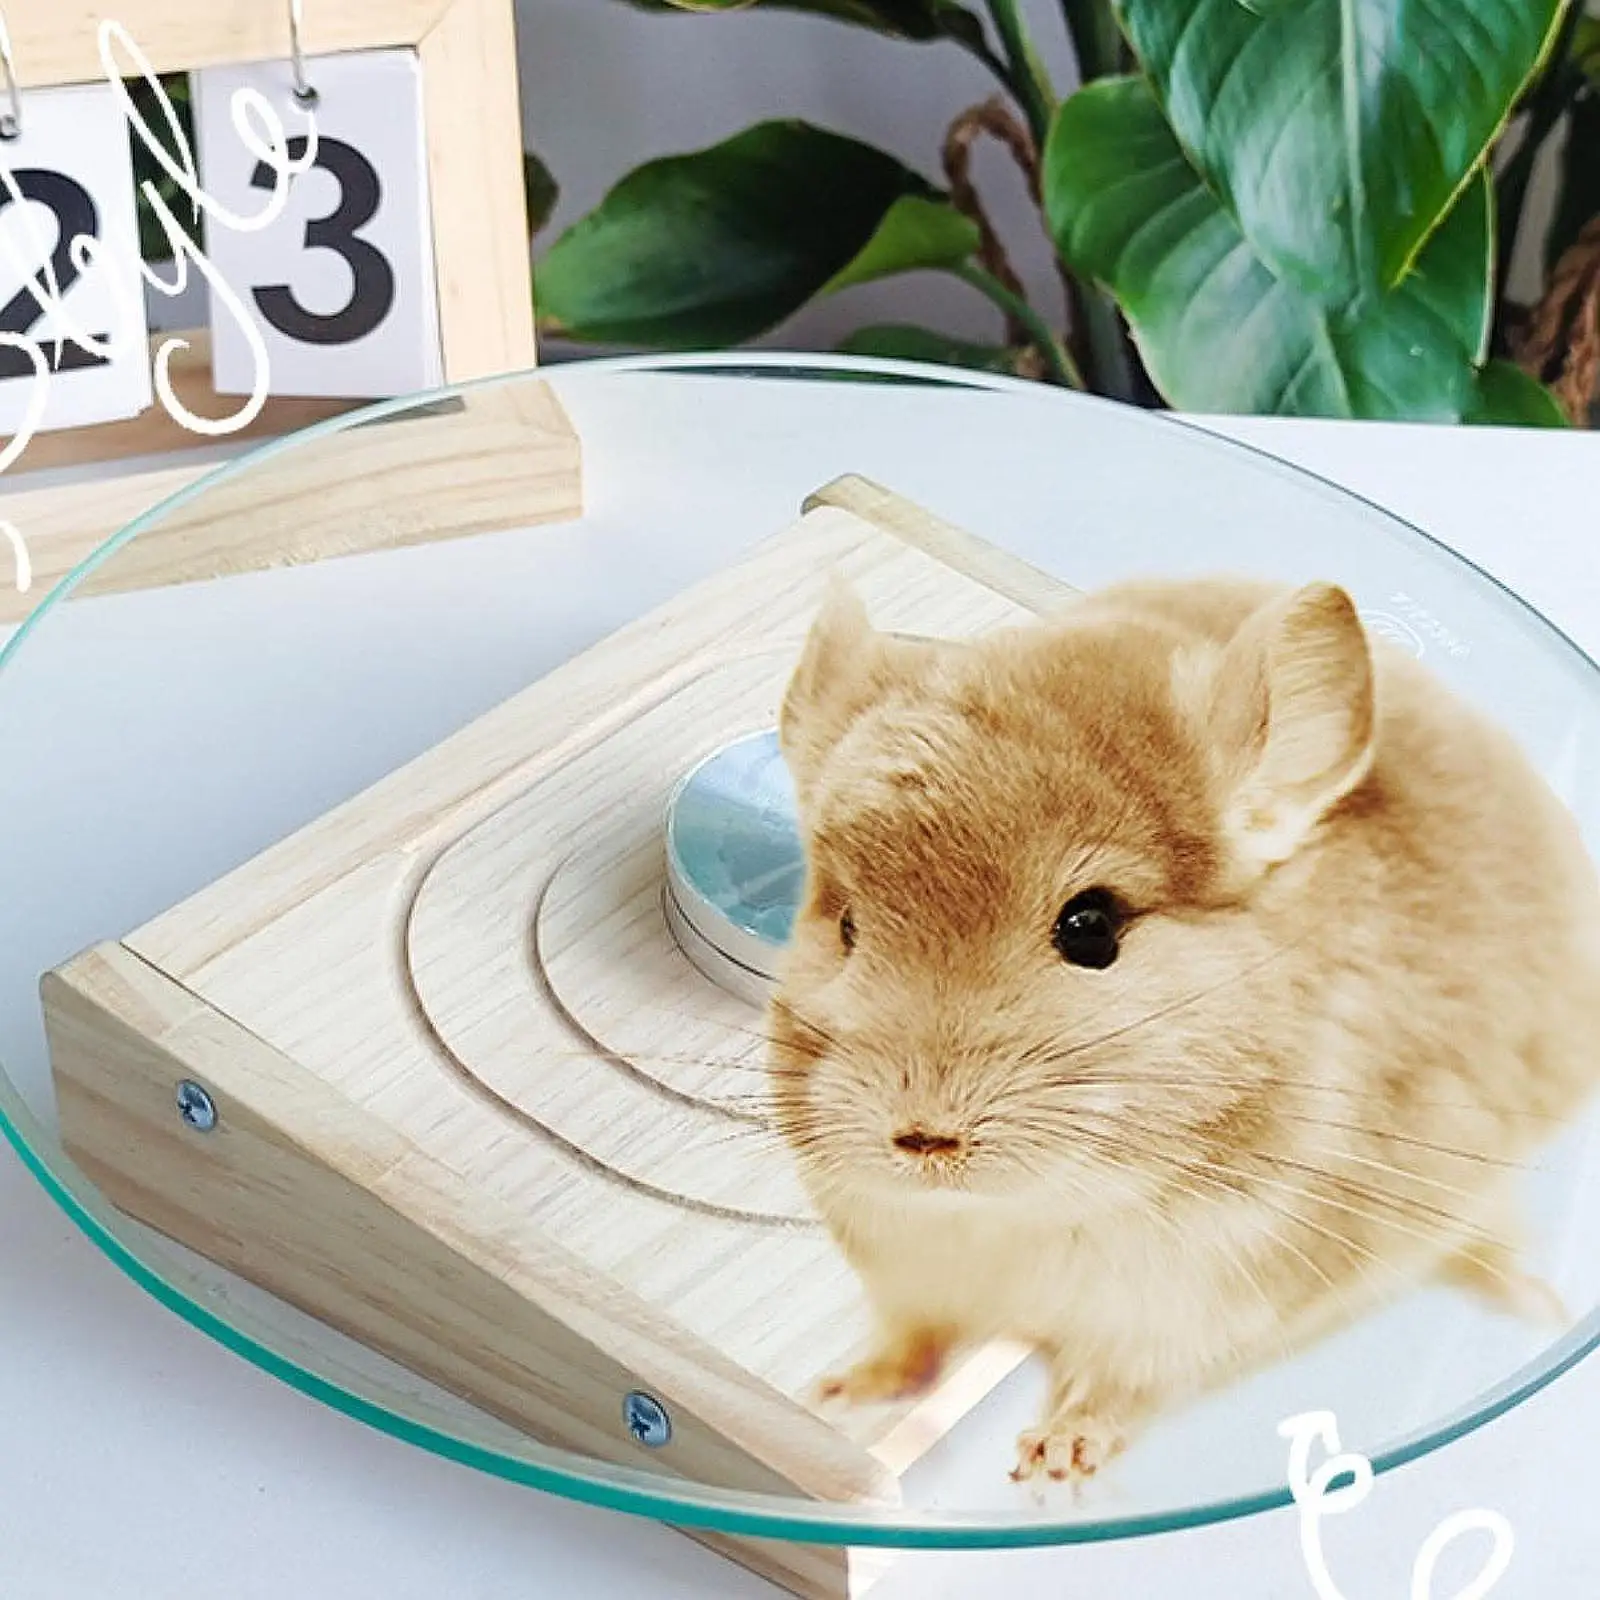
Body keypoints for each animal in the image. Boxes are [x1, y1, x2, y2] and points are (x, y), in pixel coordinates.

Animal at [767, 573, 1600, 1483]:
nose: (921, 1138)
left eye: (1091, 927)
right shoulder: (910, 1278)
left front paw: (1055, 1461)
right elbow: (912, 1343)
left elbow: (1118, 1383)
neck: (1017, 1210)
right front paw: (839, 1392)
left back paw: (1535, 1299)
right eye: (847, 925)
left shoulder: (1211, 1304)